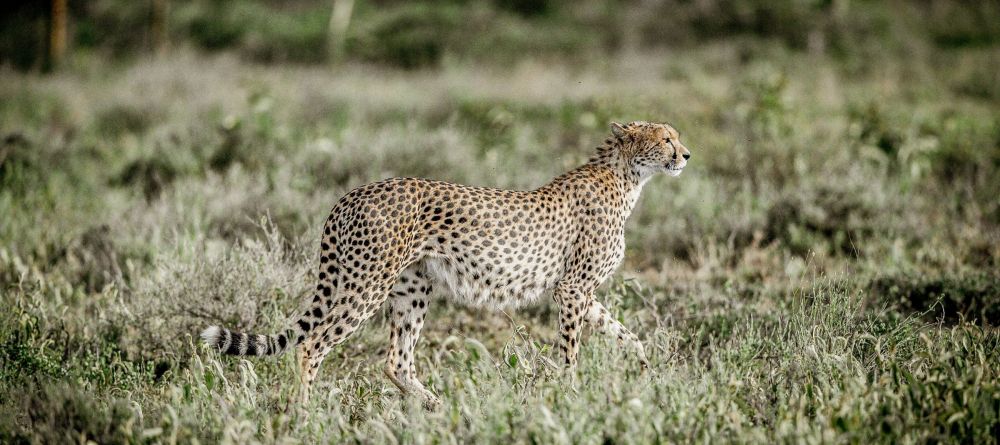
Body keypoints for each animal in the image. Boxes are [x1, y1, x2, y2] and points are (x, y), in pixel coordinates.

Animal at [200, 120, 692, 406]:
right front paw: (571, 398)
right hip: (367, 284)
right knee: (312, 345)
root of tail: (351, 193)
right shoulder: (571, 290)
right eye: (666, 138)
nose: (686, 155)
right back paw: (305, 417)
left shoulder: (582, 293)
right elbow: (571, 354)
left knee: (396, 362)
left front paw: (647, 373)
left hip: (411, 287)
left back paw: (438, 409)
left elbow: (627, 336)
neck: (627, 178)